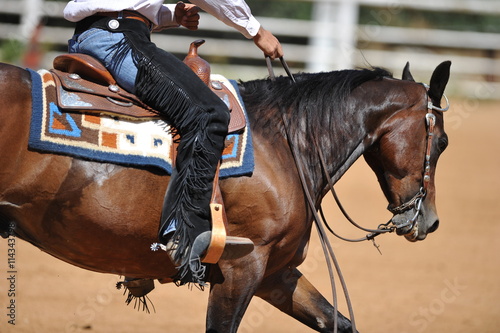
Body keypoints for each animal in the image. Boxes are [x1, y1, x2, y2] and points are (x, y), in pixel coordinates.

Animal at [0, 58, 452, 330]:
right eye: (443, 142)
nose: (430, 221)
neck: (283, 142)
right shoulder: (242, 266)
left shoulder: (275, 273)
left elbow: (337, 322)